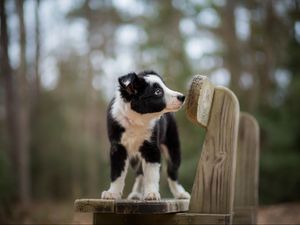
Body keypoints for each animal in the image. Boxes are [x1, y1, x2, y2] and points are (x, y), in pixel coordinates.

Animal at [101, 70, 190, 200]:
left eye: (165, 86)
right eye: (158, 92)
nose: (182, 97)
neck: (137, 119)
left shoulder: (151, 147)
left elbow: (152, 173)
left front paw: (152, 193)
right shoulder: (118, 147)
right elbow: (117, 172)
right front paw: (112, 193)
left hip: (172, 144)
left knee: (172, 171)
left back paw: (180, 193)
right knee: (140, 174)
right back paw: (136, 194)